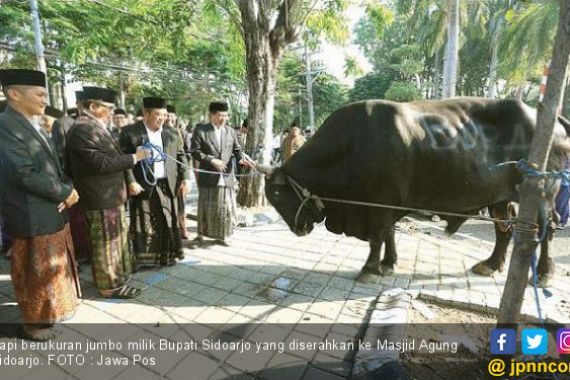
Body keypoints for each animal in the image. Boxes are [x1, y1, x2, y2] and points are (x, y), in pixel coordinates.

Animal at [258, 98, 568, 284]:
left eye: (277, 195)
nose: (298, 229)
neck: (349, 147)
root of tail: (549, 118)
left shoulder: (380, 204)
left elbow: (377, 237)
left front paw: (370, 269)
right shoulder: (389, 206)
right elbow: (389, 234)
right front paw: (388, 263)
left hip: (542, 194)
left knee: (548, 230)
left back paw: (544, 272)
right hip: (499, 200)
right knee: (503, 231)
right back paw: (490, 264)